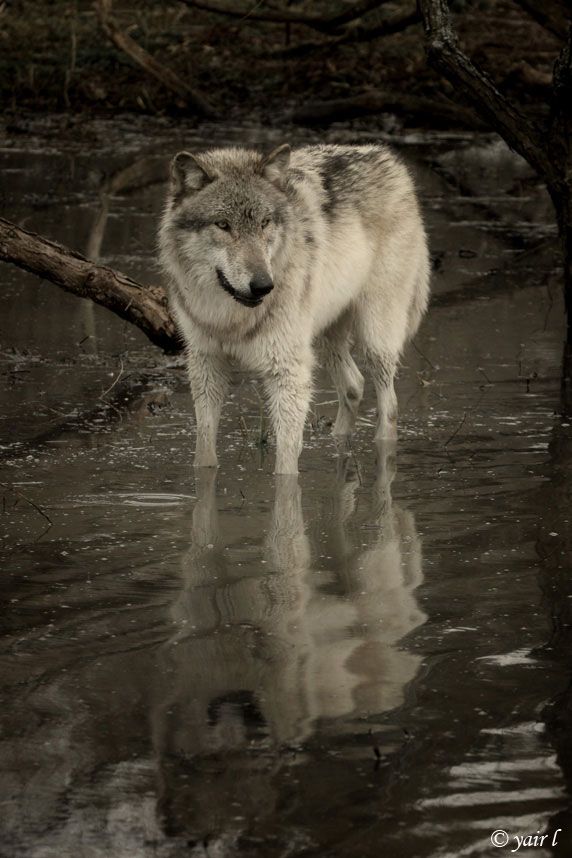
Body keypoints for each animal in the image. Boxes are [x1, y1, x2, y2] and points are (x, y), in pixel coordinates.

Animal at [159, 143, 426, 472]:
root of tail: (387, 157)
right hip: (323, 339)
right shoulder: (207, 364)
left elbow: (286, 467)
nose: (263, 285)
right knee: (353, 385)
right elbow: (204, 451)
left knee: (389, 405)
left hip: (375, 338)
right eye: (223, 225)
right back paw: (337, 444)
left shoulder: (288, 372)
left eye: (265, 223)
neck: (230, 318)